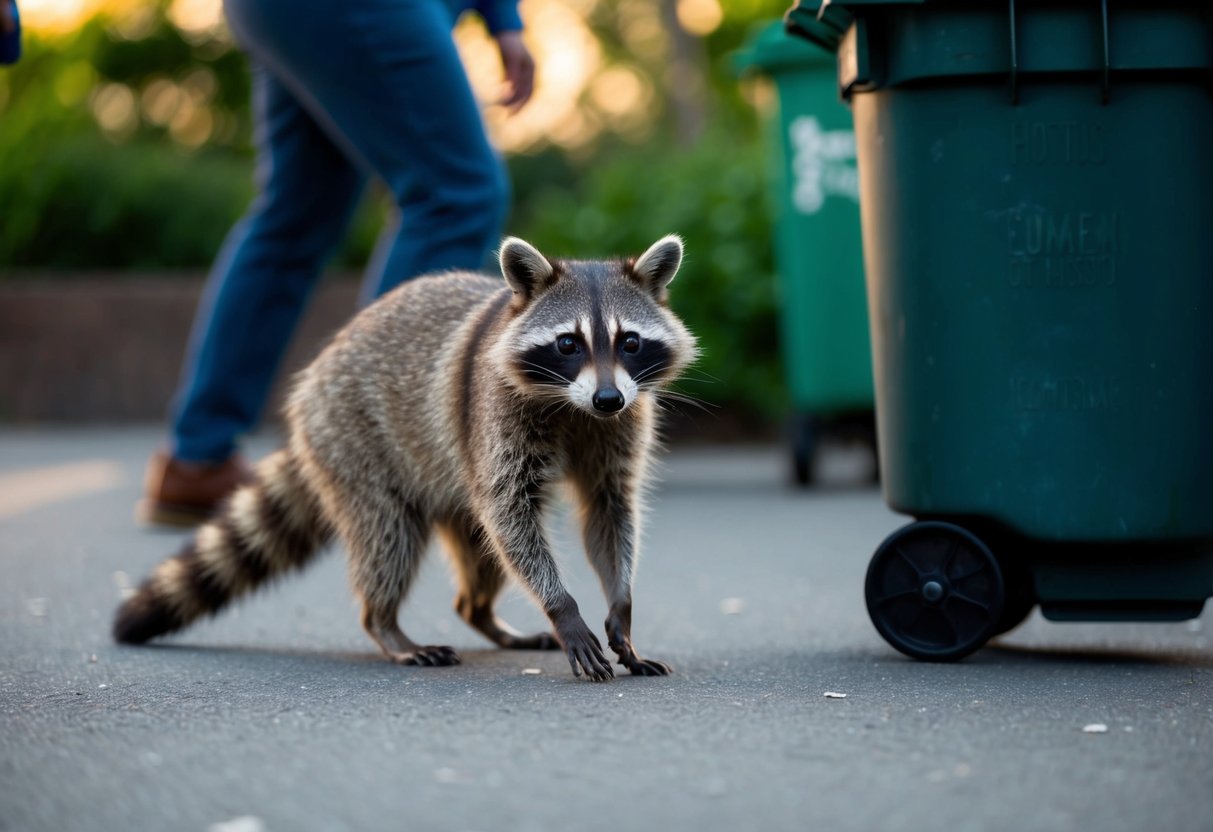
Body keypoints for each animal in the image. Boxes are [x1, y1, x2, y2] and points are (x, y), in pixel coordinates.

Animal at [114, 235, 698, 681]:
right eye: (568, 344)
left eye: (629, 342)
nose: (607, 398)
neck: (575, 408)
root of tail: (316, 377)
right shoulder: (495, 415)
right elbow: (510, 514)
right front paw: (564, 608)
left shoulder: (621, 426)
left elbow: (608, 510)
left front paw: (621, 609)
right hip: (353, 436)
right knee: (388, 535)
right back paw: (386, 624)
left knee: (480, 554)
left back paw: (482, 615)